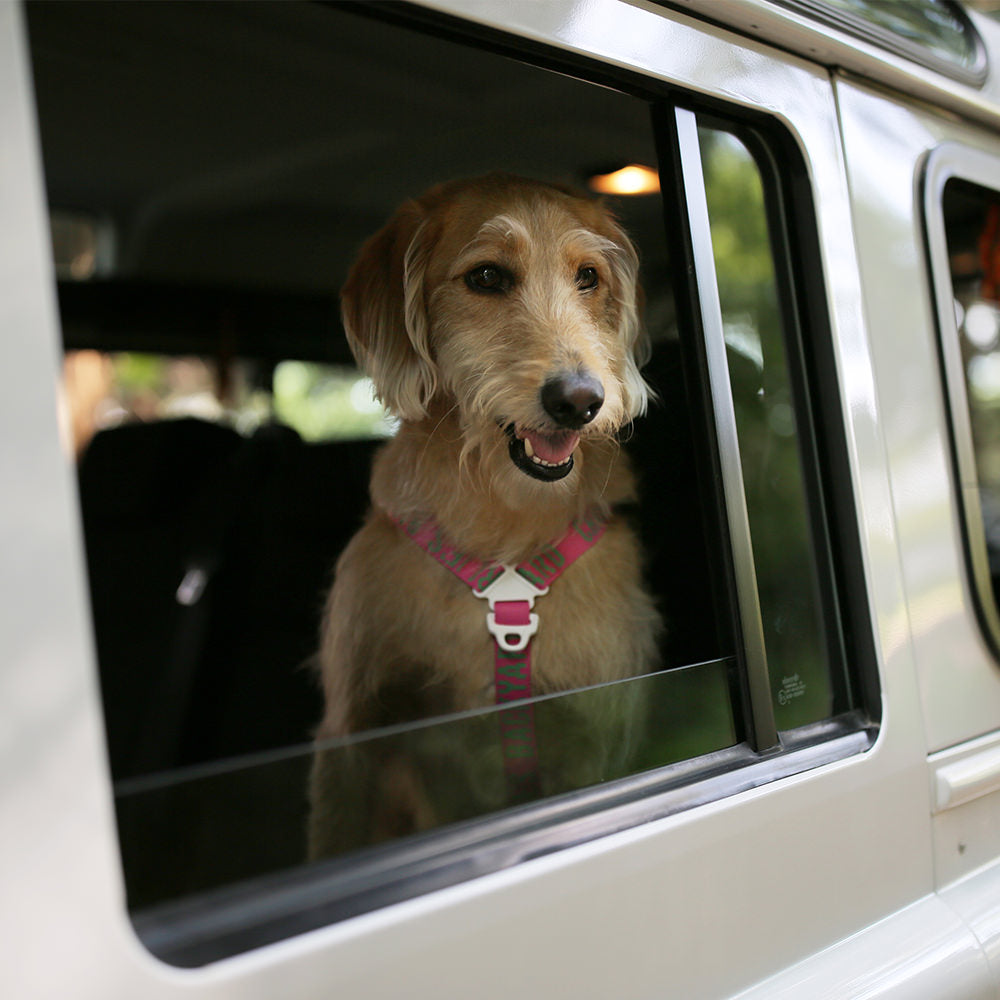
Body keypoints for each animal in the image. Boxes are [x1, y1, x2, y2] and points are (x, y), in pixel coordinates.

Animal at [308, 174, 660, 860]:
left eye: (589, 277)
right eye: (488, 277)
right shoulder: (354, 728)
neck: (504, 519)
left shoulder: (597, 729)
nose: (580, 400)